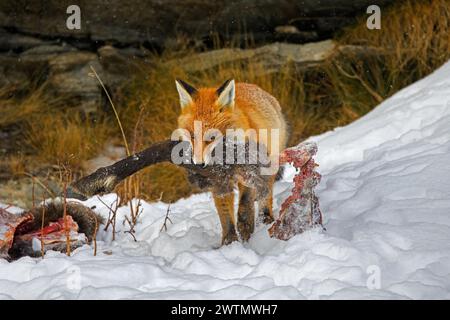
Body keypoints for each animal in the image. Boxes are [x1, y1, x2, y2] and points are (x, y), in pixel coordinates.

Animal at [174, 79, 286, 244]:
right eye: (192, 136)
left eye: (212, 137)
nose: (199, 164)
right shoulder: (218, 182)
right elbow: (225, 215)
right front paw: (229, 241)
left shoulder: (249, 170)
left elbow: (245, 202)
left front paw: (245, 227)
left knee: (266, 194)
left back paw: (265, 219)